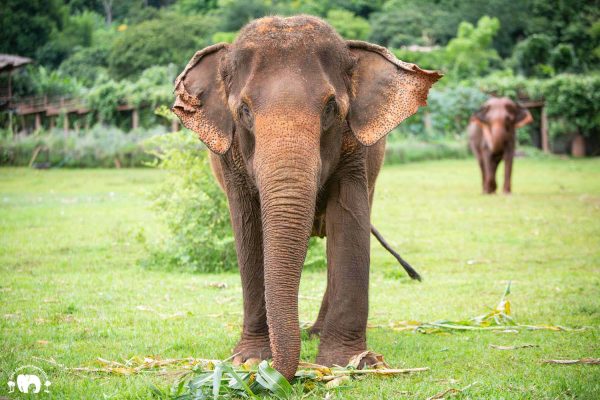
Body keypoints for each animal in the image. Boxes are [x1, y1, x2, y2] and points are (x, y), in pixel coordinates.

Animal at [170, 15, 440, 380]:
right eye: (244, 111)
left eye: (331, 108)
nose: (275, 372)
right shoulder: (230, 159)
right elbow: (247, 231)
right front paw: (249, 360)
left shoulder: (354, 151)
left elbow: (349, 227)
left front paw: (350, 363)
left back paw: (314, 333)